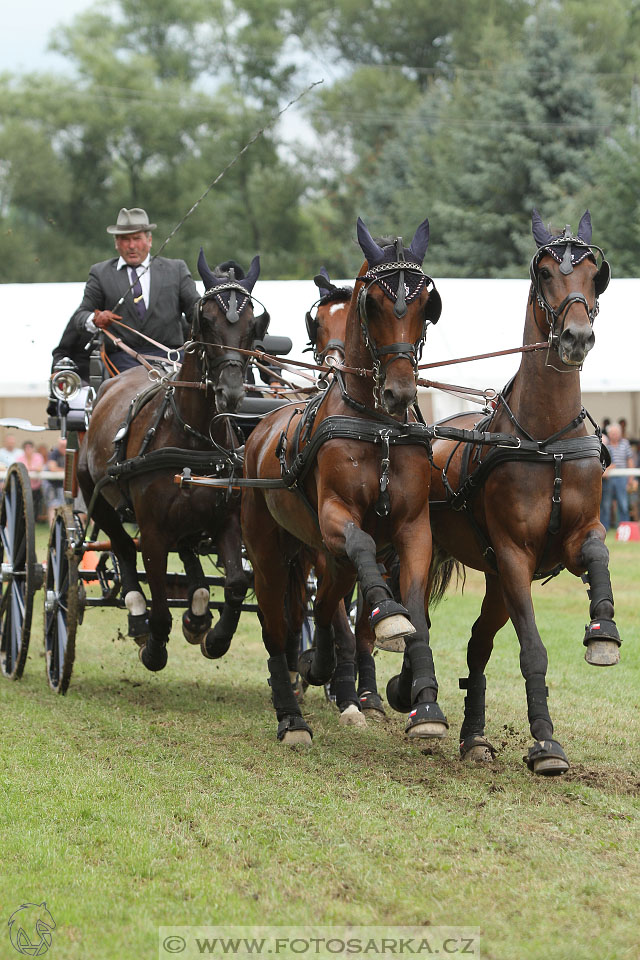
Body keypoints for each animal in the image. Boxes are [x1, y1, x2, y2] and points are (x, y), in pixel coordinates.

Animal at [77, 256, 268, 676]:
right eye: (206, 319)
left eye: (252, 325)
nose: (231, 391)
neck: (192, 435)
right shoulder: (151, 532)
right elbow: (160, 602)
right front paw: (154, 647)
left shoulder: (226, 520)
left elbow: (236, 583)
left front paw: (215, 638)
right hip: (98, 498)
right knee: (123, 548)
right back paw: (138, 615)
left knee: (188, 551)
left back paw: (197, 611)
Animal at [241, 214, 444, 748]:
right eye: (371, 304)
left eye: (426, 304)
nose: (400, 392)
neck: (378, 428)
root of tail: (261, 429)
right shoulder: (337, 517)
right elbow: (360, 544)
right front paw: (387, 618)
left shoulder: (414, 529)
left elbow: (414, 610)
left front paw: (425, 705)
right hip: (269, 554)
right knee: (278, 627)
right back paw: (292, 715)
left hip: (321, 556)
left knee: (328, 602)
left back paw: (328, 668)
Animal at [424, 208, 616, 772]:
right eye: (545, 273)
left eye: (594, 275)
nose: (576, 338)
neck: (546, 442)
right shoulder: (514, 556)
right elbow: (532, 648)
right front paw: (546, 742)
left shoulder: (569, 540)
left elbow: (597, 552)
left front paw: (604, 632)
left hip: (494, 580)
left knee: (477, 645)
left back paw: (473, 736)